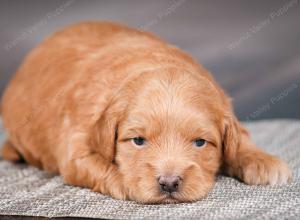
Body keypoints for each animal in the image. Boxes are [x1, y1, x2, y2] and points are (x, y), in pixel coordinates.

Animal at [0, 21, 290, 203]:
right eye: (138, 141)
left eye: (200, 143)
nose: (169, 183)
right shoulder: (76, 147)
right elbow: (98, 167)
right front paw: (127, 182)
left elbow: (242, 140)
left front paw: (263, 161)